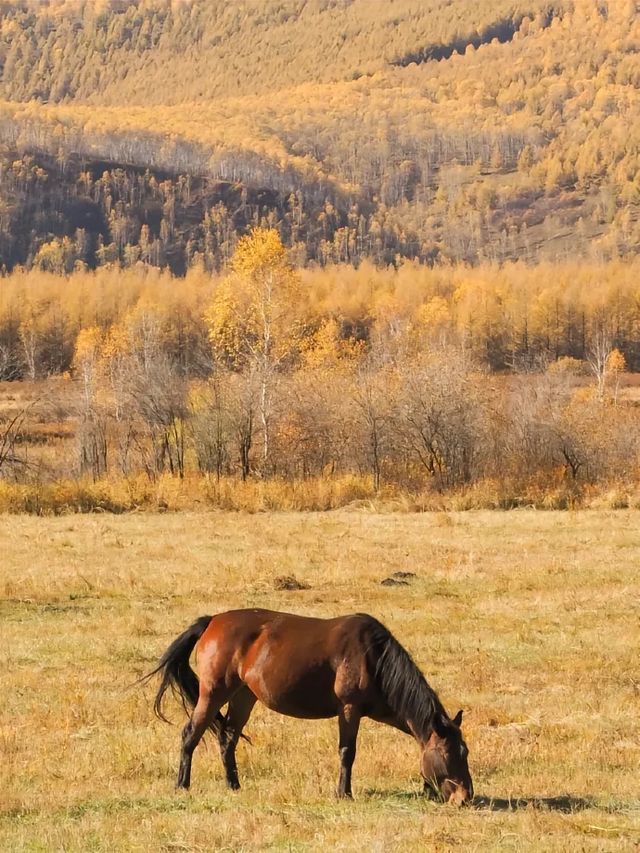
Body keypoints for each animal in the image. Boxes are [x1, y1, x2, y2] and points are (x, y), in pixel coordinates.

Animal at [146, 608, 476, 804]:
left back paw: (233, 785)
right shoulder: (349, 709)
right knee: (191, 733)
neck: (373, 658)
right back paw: (182, 785)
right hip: (214, 692)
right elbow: (347, 751)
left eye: (466, 753)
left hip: (243, 696)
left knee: (228, 738)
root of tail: (212, 621)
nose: (465, 797)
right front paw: (343, 793)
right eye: (448, 754)